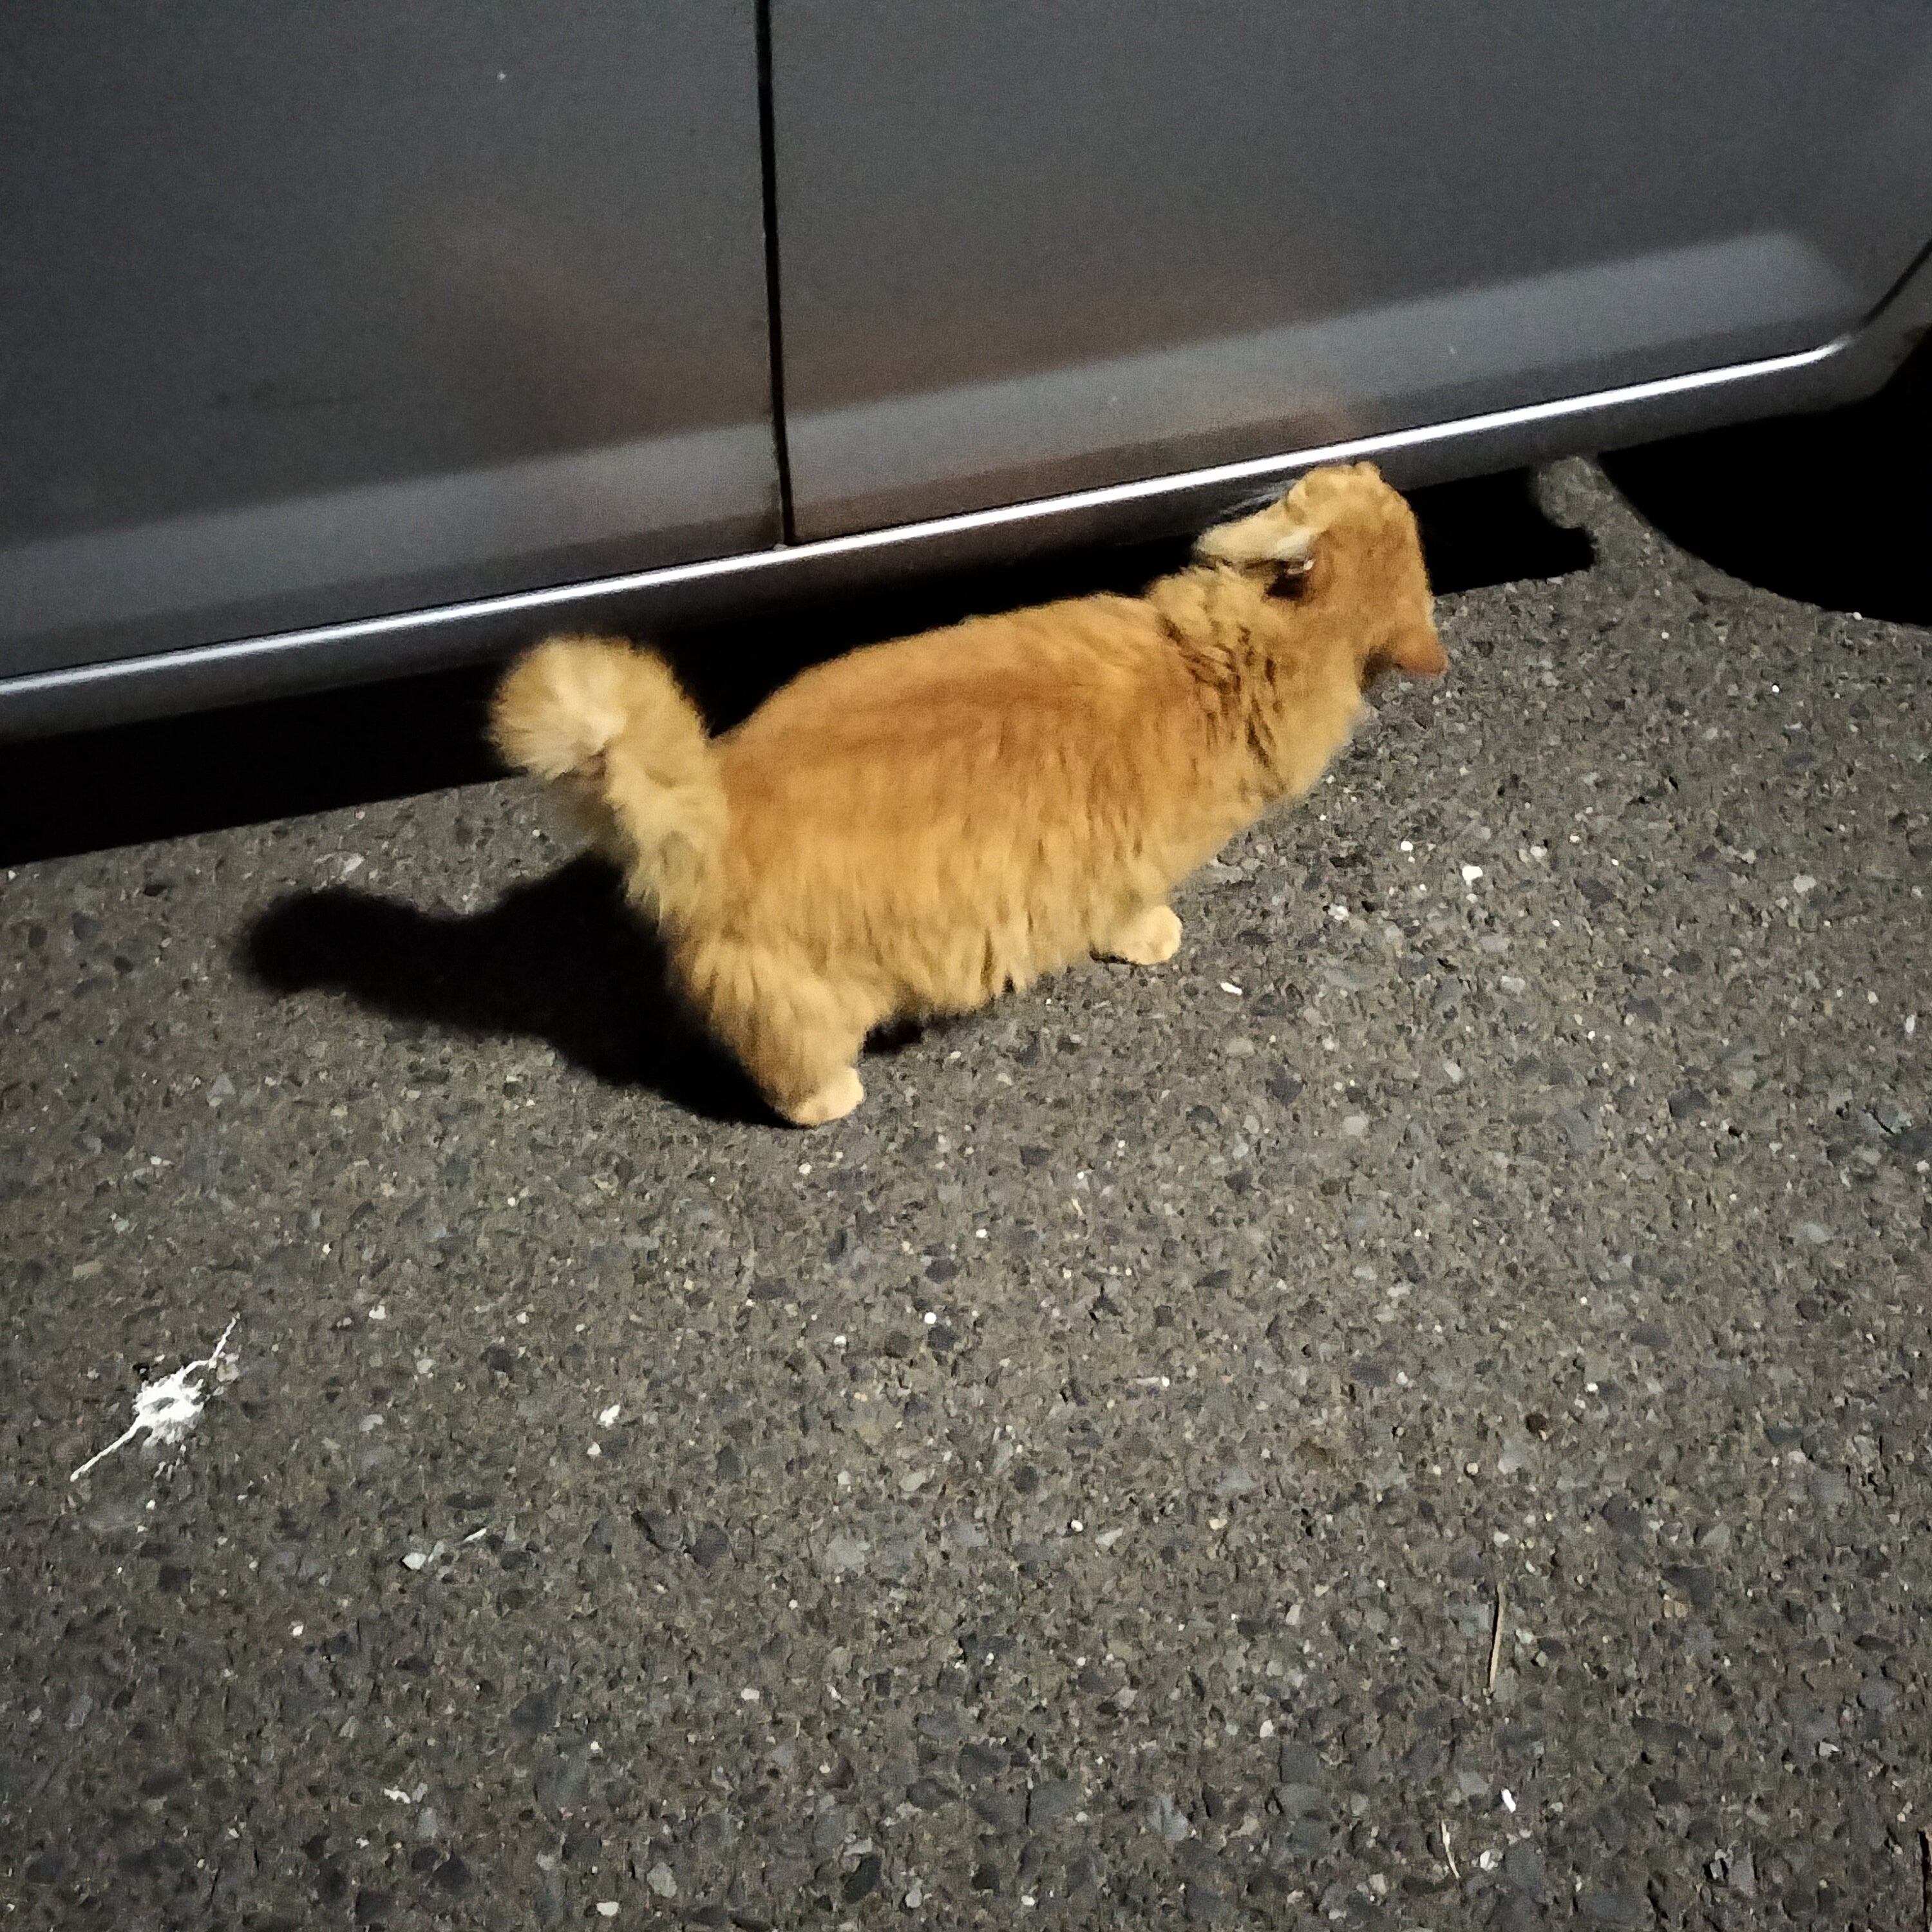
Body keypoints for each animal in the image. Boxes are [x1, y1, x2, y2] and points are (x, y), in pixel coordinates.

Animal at [491, 461, 1445, 1125]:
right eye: (1352, 479)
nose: (1375, 460)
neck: (1222, 658)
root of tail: (718, 792)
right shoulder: (1132, 869)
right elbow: (1133, 915)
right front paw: (1155, 940)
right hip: (813, 1002)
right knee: (788, 1069)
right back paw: (831, 1101)